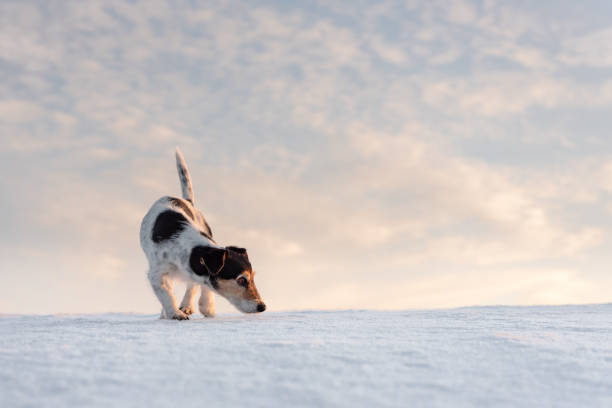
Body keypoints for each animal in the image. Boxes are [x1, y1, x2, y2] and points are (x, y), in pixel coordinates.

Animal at [140, 148, 266, 320]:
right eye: (241, 280)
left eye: (253, 277)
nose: (263, 307)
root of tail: (186, 201)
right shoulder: (156, 273)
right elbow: (166, 294)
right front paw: (175, 313)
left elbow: (197, 285)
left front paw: (203, 306)